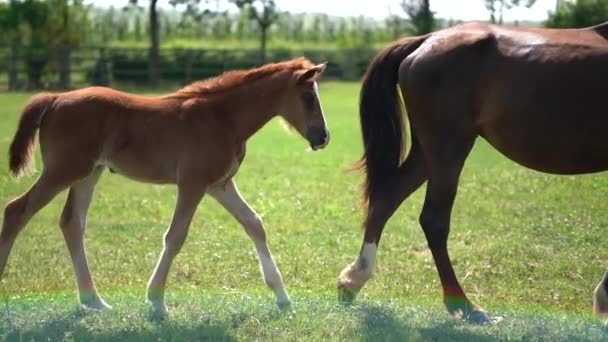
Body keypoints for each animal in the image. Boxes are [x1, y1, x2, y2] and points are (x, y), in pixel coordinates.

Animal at [0, 57, 330, 316]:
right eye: (308, 98)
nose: (323, 137)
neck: (222, 118)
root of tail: (55, 99)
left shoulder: (220, 185)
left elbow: (254, 224)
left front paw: (283, 298)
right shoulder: (192, 183)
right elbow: (175, 236)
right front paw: (156, 301)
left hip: (88, 173)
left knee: (71, 222)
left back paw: (94, 300)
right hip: (63, 170)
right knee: (17, 210)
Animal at [340, 22, 608, 324]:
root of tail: (427, 39)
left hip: (427, 152)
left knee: (387, 199)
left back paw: (352, 281)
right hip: (449, 148)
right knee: (433, 220)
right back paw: (465, 305)